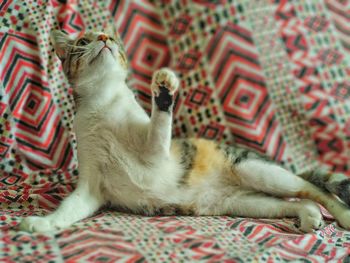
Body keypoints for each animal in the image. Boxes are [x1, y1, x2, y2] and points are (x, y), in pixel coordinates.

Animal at [20, 28, 350, 234]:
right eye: (82, 41)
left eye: (109, 36)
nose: (102, 37)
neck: (103, 103)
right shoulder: (91, 186)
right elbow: (70, 207)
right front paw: (42, 224)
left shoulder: (155, 154)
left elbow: (158, 124)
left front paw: (164, 90)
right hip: (246, 202)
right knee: (297, 200)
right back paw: (310, 216)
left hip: (258, 172)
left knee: (313, 188)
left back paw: (342, 215)